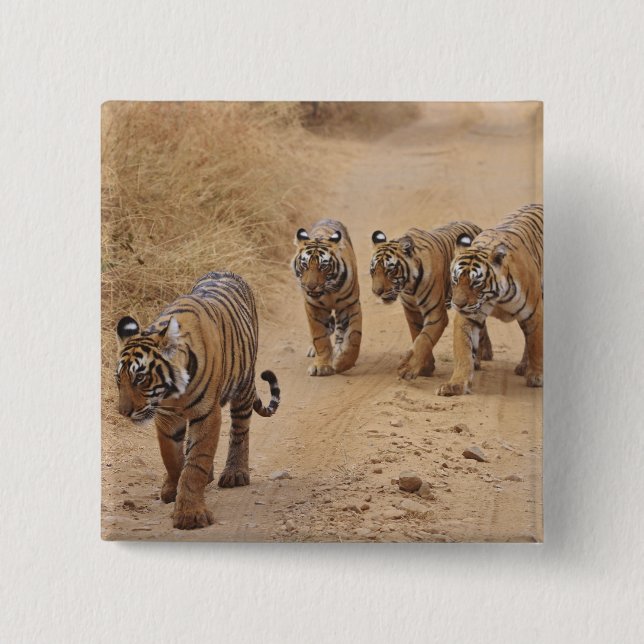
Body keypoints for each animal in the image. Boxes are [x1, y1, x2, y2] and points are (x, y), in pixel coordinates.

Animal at [115, 272, 280, 530]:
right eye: (118, 380)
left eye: (140, 378)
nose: (123, 412)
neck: (172, 392)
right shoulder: (167, 418)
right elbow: (172, 458)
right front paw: (172, 489)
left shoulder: (206, 413)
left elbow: (196, 464)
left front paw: (190, 515)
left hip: (243, 385)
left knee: (240, 430)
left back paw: (235, 473)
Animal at [291, 219, 362, 376]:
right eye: (304, 265)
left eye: (323, 266)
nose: (310, 286)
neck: (329, 291)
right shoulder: (314, 307)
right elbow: (320, 338)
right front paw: (322, 366)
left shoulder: (350, 305)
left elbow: (354, 336)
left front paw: (342, 363)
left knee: (341, 331)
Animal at [370, 221, 493, 380]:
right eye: (373, 271)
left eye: (390, 271)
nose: (376, 292)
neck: (409, 287)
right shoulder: (411, 311)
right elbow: (417, 335)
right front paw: (426, 368)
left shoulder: (436, 314)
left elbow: (424, 339)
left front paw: (410, 369)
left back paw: (477, 361)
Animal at [436, 203, 543, 396]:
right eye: (455, 279)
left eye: (475, 283)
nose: (458, 304)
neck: (497, 298)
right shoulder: (468, 316)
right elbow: (463, 352)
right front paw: (456, 384)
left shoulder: (534, 313)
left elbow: (536, 345)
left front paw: (536, 376)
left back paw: (525, 367)